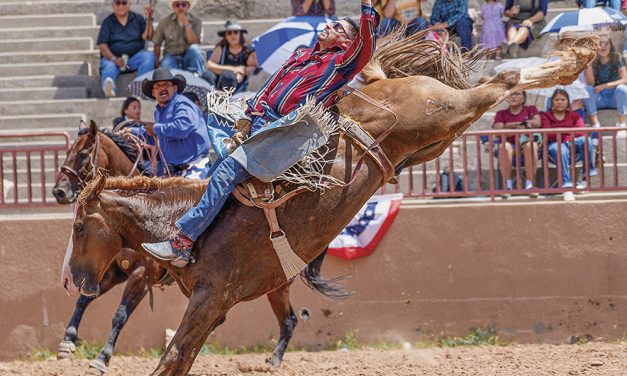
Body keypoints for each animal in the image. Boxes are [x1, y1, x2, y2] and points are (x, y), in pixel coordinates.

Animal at [54, 122, 344, 374]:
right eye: (68, 152)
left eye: (82, 154)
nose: (58, 191)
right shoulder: (116, 272)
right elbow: (83, 300)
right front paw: (68, 341)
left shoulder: (141, 277)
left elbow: (120, 315)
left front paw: (101, 359)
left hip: (276, 286)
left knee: (289, 320)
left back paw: (273, 360)